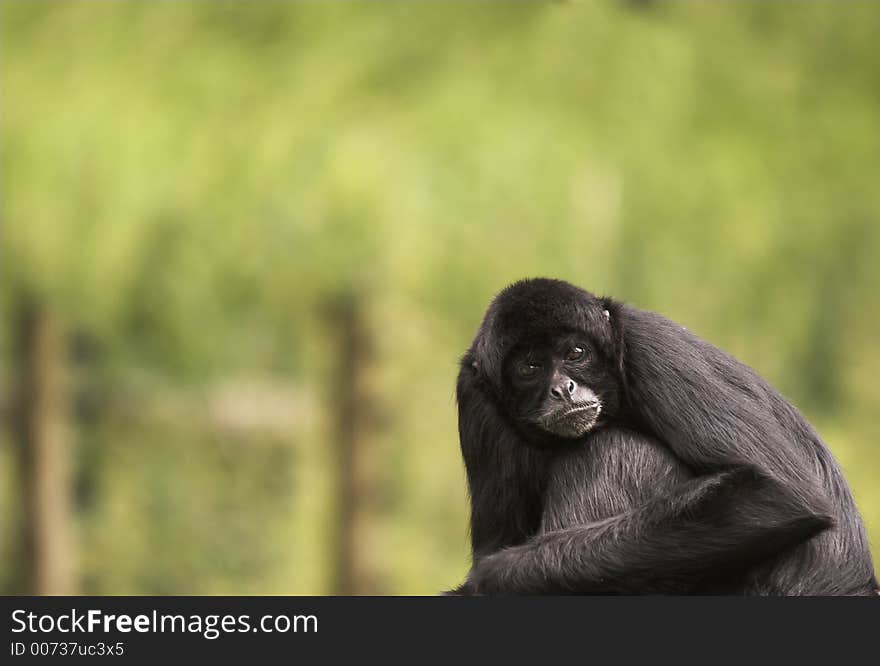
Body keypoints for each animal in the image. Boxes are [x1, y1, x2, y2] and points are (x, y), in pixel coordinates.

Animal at [450, 274, 876, 592]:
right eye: (531, 367)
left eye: (575, 354)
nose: (562, 388)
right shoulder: (474, 394)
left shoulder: (648, 346)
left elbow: (780, 494)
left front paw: (491, 577)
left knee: (605, 448)